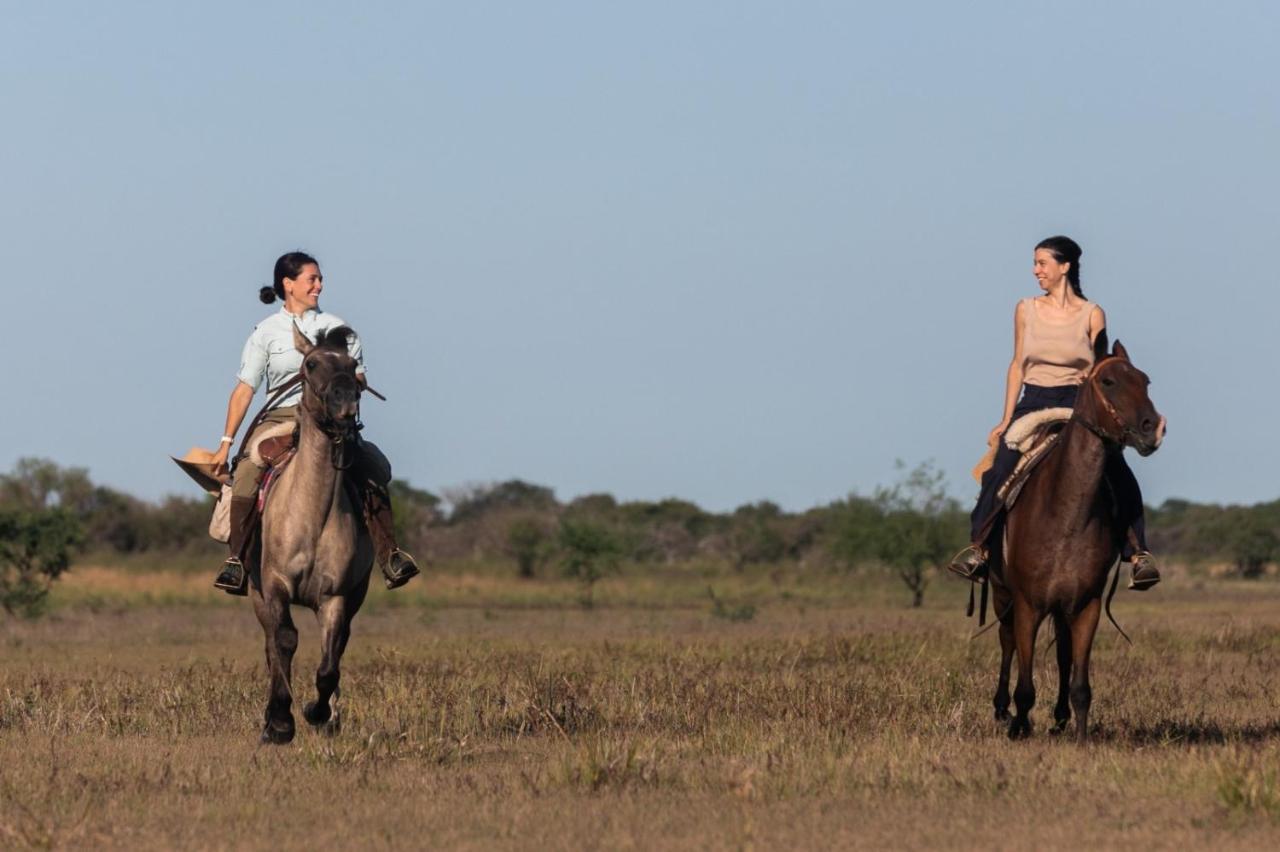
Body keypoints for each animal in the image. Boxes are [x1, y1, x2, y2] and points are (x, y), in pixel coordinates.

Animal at [247, 322, 373, 741]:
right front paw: (280, 722)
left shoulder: (335, 596)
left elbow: (329, 663)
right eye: (312, 364)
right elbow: (284, 641)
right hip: (256, 594)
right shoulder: (275, 585)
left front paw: (317, 712)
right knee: (271, 644)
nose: (345, 400)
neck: (311, 515)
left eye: (352, 365)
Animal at [988, 337, 1162, 736]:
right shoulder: (1027, 604)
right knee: (1006, 641)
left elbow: (1081, 683)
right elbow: (1025, 682)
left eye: (1145, 381)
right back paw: (1002, 710)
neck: (1066, 513)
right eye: (1109, 382)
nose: (1153, 428)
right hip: (1002, 594)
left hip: (1062, 606)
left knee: (1063, 652)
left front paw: (1080, 736)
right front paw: (1019, 728)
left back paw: (1060, 718)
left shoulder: (1086, 605)